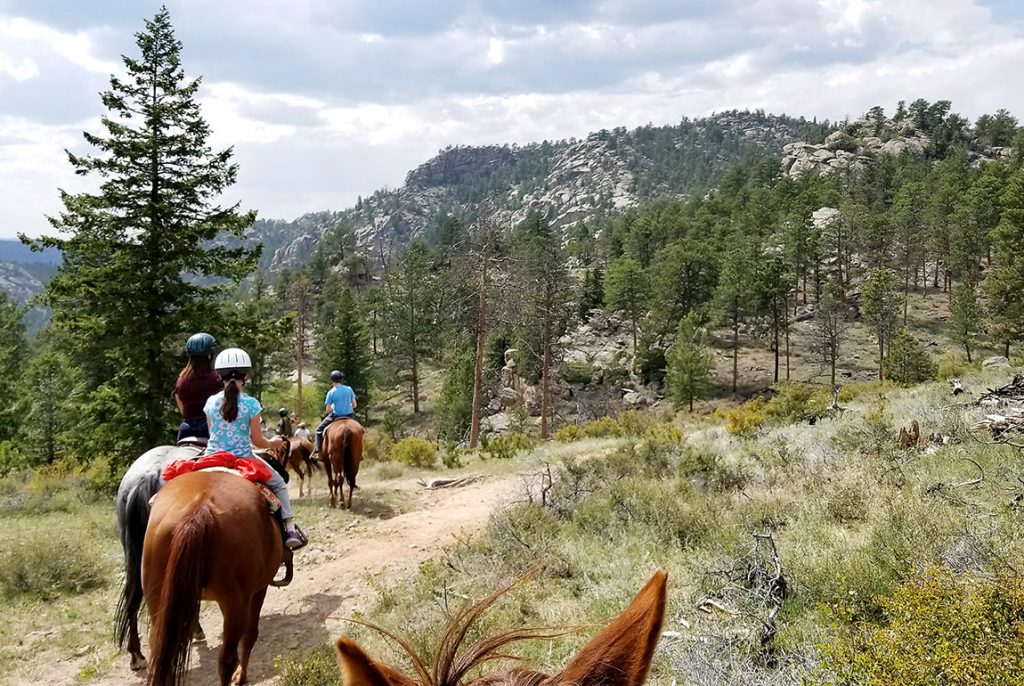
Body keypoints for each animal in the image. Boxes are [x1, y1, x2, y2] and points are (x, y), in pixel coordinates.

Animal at [139, 473, 284, 686]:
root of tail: (200, 508)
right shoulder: (258, 589)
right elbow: (250, 634)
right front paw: (241, 676)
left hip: (158, 600)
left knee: (159, 651)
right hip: (236, 605)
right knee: (227, 659)